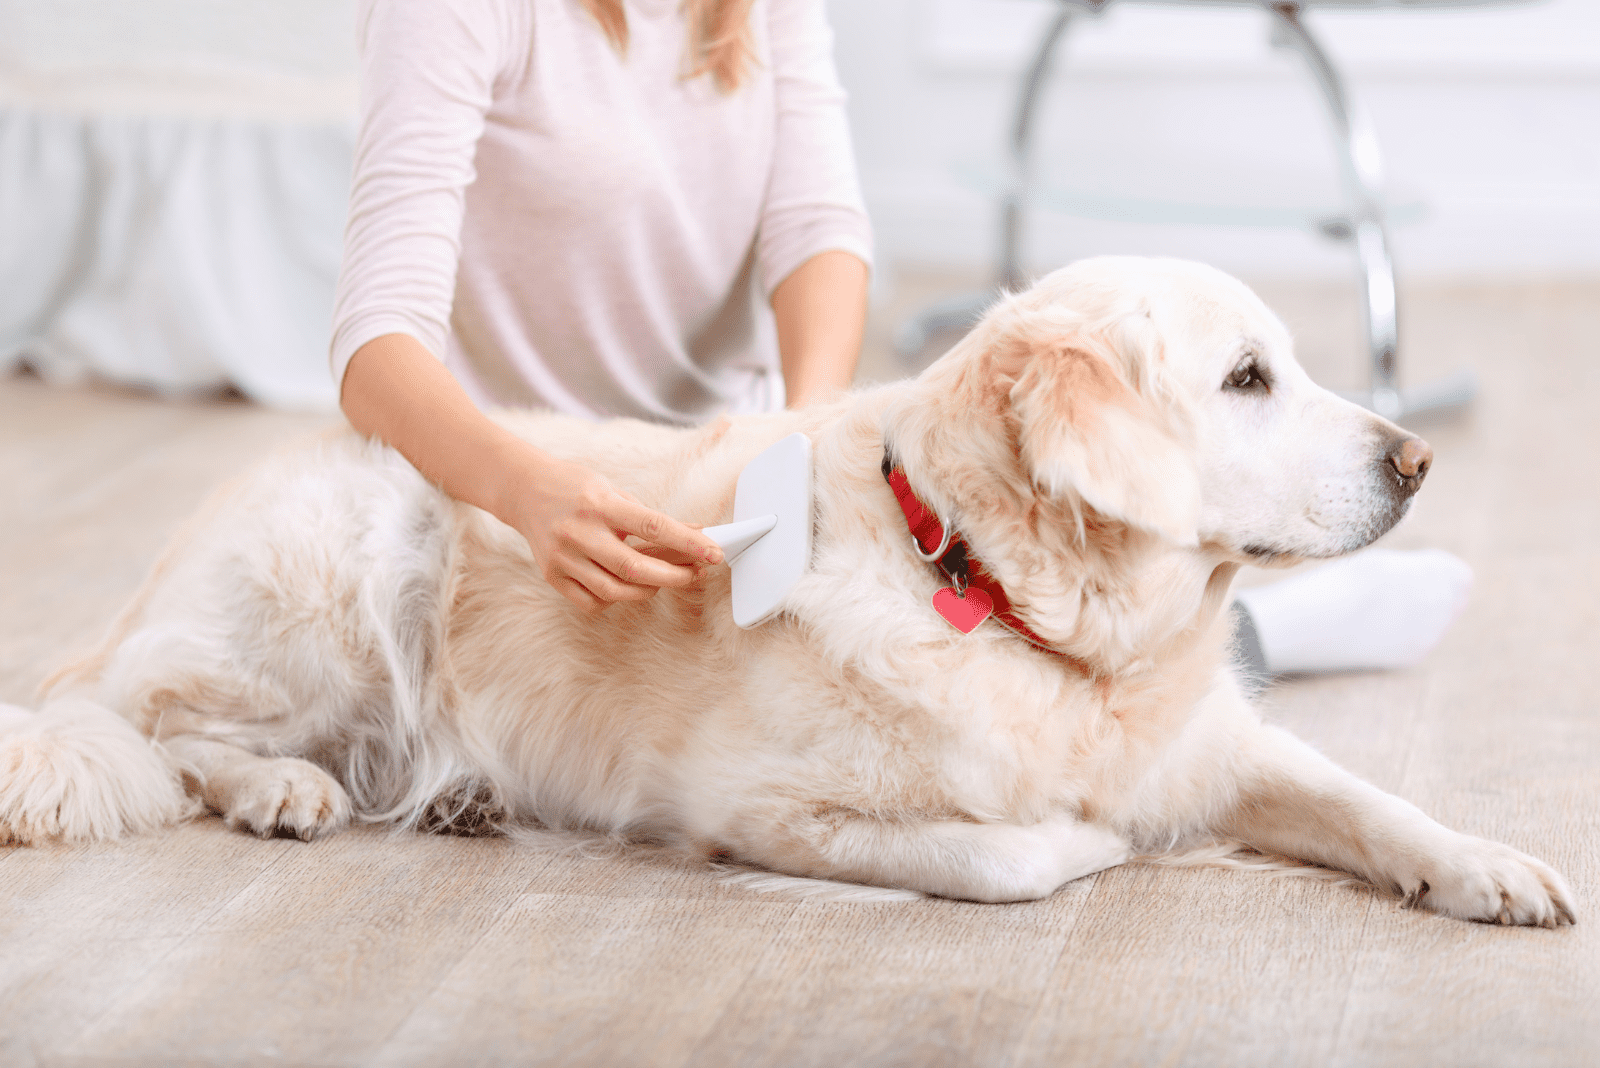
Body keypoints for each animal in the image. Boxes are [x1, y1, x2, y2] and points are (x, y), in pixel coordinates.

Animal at [0, 259, 1574, 927]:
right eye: (1247, 378)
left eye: (1288, 364)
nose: (1417, 460)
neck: (1006, 602)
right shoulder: (753, 808)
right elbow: (1015, 853)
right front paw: (1092, 840)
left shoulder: (1215, 743)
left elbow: (1362, 800)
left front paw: (1486, 867)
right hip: (346, 564)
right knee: (154, 720)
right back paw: (283, 787)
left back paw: (456, 793)